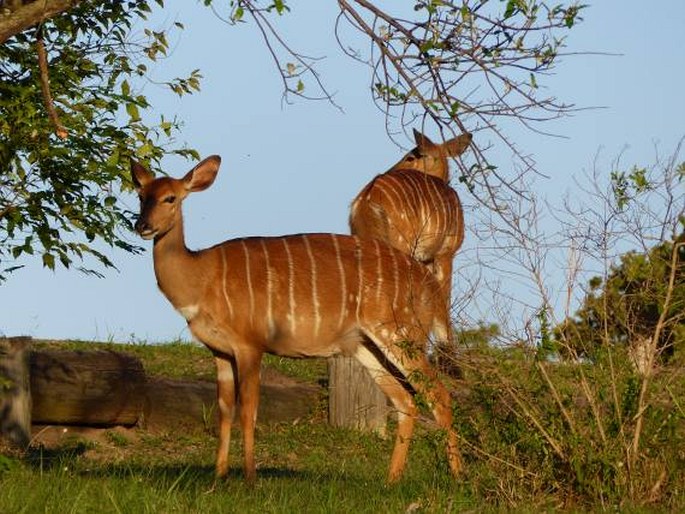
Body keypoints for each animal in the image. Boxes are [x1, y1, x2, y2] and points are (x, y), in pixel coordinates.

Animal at [131, 154, 462, 482]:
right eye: (141, 195)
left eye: (171, 197)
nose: (143, 225)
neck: (202, 277)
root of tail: (428, 285)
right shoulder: (219, 351)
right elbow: (224, 410)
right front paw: (218, 478)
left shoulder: (250, 345)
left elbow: (248, 410)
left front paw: (249, 480)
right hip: (365, 344)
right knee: (405, 400)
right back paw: (391, 480)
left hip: (401, 332)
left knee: (438, 394)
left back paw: (457, 477)